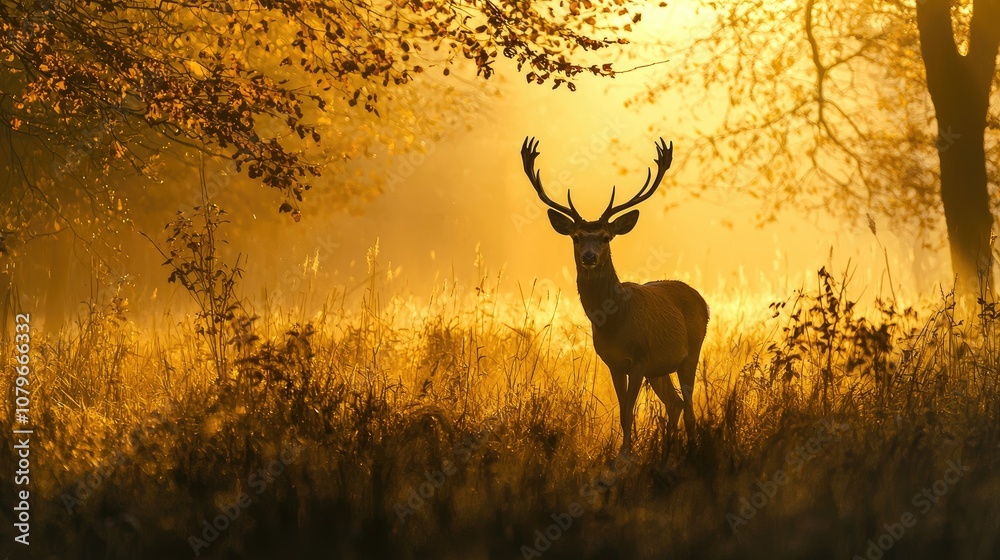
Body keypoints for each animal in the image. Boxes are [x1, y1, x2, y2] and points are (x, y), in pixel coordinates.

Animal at [520, 136, 709, 453]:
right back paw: (668, 448)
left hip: (691, 351)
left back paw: (691, 448)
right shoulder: (614, 362)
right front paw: (625, 452)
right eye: (576, 237)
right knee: (675, 403)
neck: (615, 321)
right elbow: (623, 413)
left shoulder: (640, 359)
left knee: (689, 406)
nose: (589, 257)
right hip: (659, 368)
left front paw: (626, 455)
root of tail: (702, 300)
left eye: (606, 237)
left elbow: (630, 411)